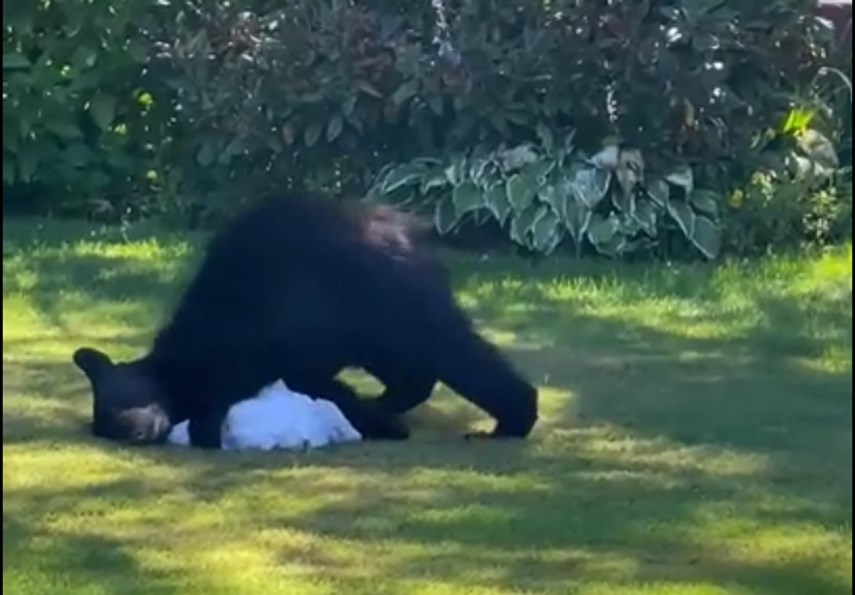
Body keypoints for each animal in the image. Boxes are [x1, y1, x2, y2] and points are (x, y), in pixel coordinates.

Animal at [75, 193, 540, 450]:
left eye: (117, 403)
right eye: (108, 421)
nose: (136, 431)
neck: (181, 364)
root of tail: (406, 226)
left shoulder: (261, 345)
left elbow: (313, 384)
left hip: (387, 294)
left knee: (449, 348)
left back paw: (511, 420)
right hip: (371, 323)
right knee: (411, 368)